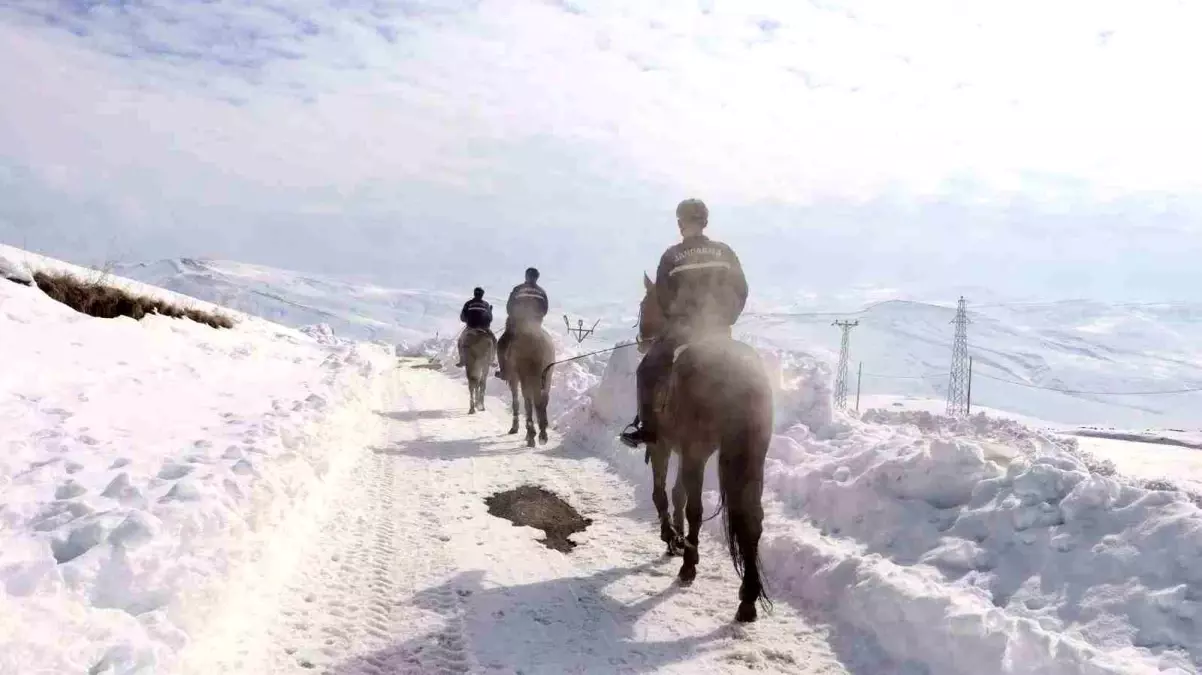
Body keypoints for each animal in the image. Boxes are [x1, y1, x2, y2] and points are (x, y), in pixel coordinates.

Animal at [634, 270, 774, 624]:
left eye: (644, 304)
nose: (642, 338)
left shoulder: (666, 446)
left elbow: (663, 493)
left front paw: (671, 537)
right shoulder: (686, 450)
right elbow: (678, 493)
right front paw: (677, 538)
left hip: (695, 450)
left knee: (695, 508)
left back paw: (689, 565)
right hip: (751, 455)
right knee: (753, 519)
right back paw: (747, 597)